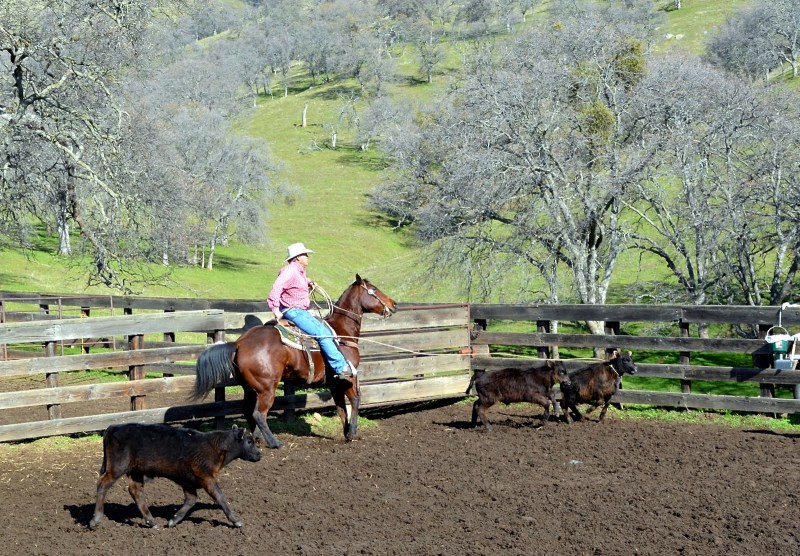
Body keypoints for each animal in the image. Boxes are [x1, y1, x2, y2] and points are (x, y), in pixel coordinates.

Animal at [191, 274, 397, 449]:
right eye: (374, 289)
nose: (394, 304)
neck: (341, 332)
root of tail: (240, 342)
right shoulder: (347, 377)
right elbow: (355, 400)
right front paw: (353, 432)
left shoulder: (334, 383)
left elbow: (340, 408)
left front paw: (347, 433)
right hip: (267, 387)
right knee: (259, 413)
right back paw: (274, 442)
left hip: (250, 387)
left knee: (249, 411)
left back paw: (257, 438)